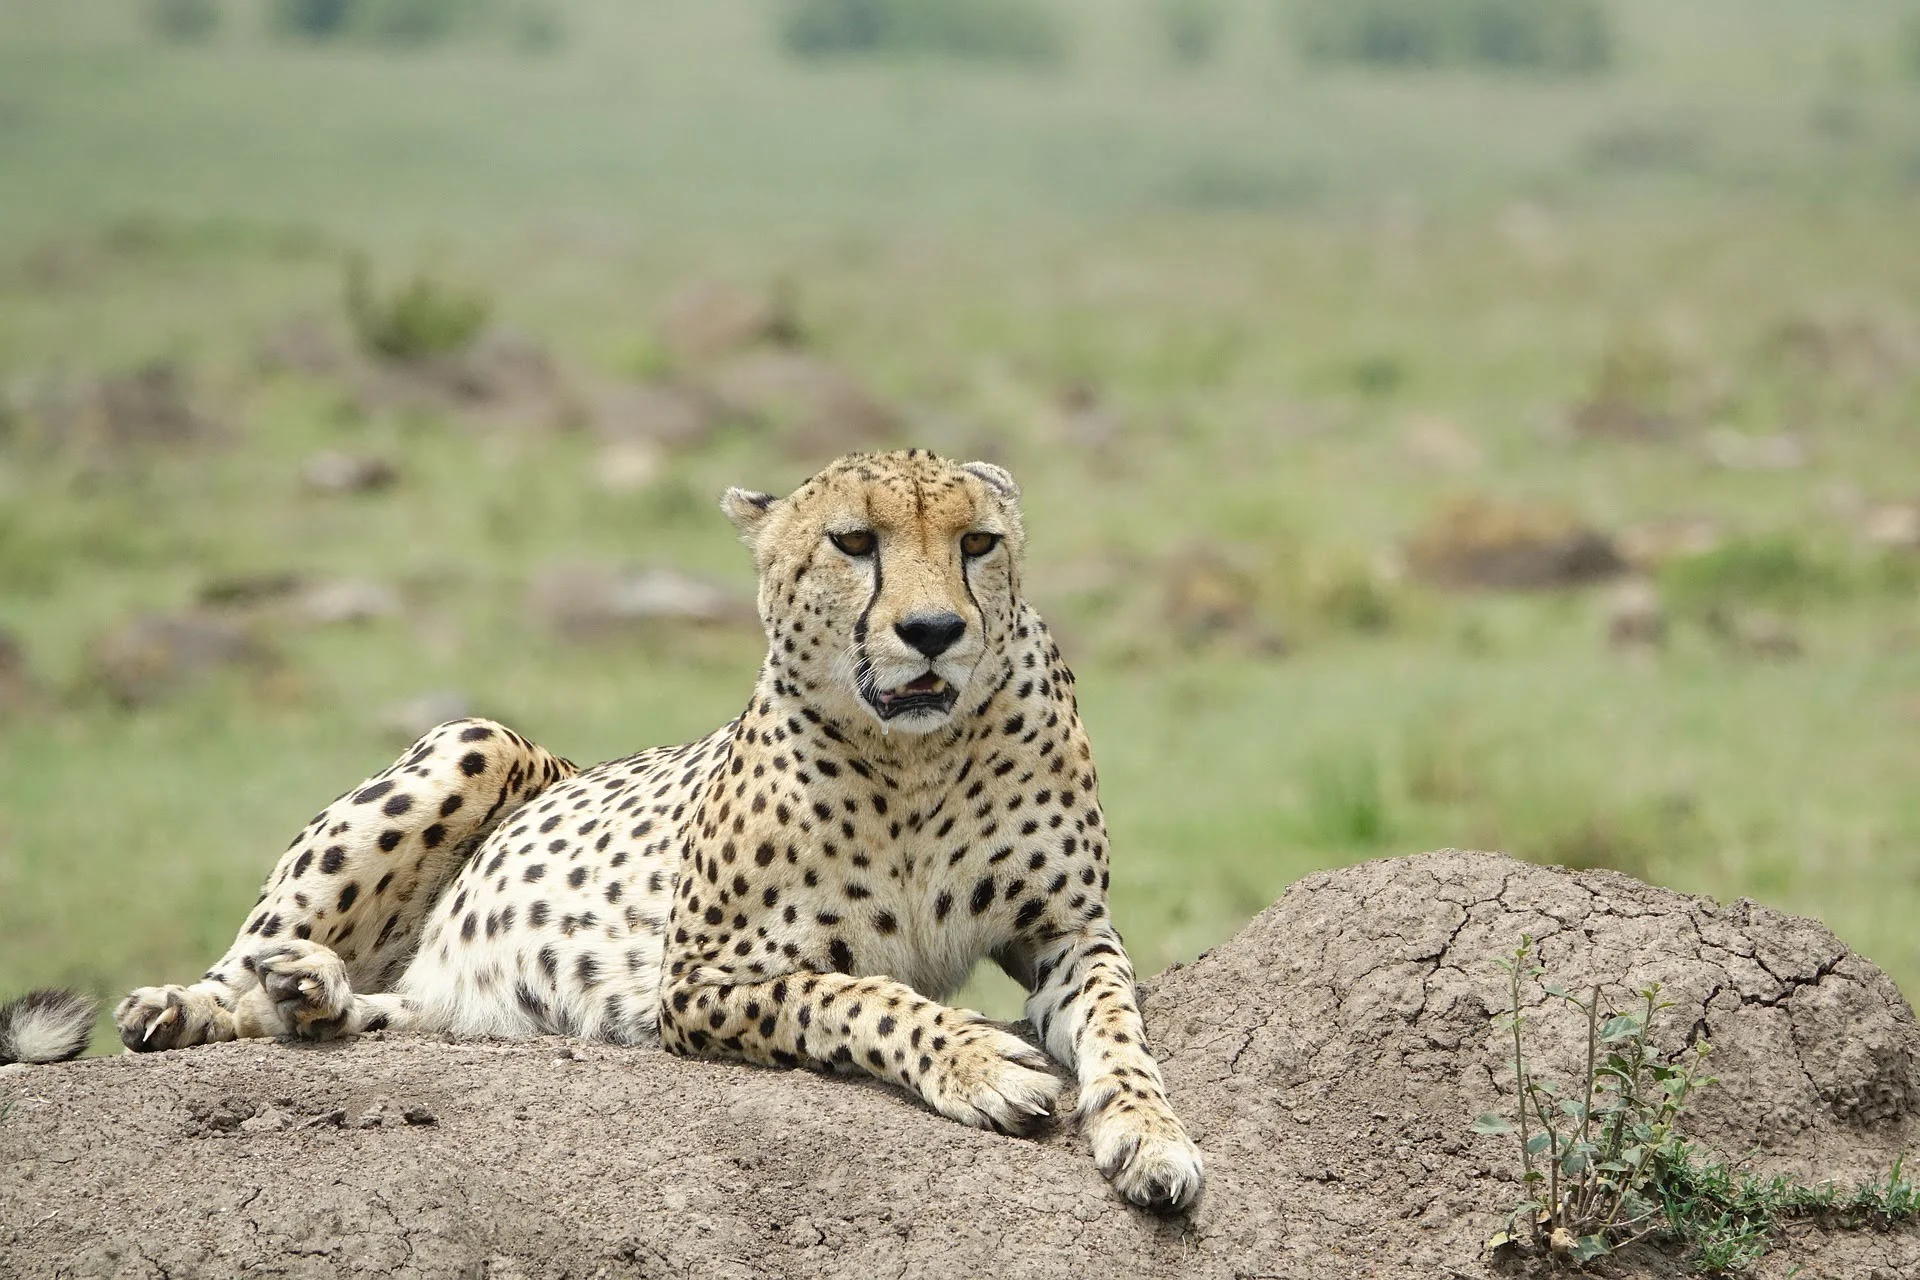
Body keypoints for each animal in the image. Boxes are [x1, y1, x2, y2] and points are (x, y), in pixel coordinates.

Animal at [10, 449, 1205, 1211]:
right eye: (854, 542)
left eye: (980, 542)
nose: (934, 631)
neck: (912, 754)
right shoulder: (706, 978)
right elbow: (859, 994)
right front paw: (979, 1059)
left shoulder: (1066, 930)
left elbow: (1118, 1027)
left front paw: (1151, 1135)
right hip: (476, 740)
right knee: (246, 964)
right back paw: (197, 1002)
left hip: (459, 985)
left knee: (399, 1012)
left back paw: (320, 997)